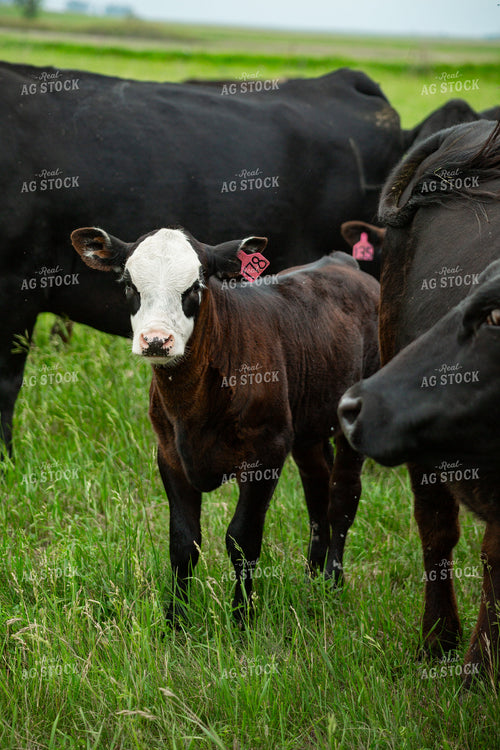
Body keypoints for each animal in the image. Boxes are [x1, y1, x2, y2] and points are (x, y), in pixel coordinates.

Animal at [71, 225, 380, 623]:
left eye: (196, 286)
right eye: (128, 284)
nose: (156, 340)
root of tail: (344, 264)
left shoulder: (266, 453)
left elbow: (242, 539)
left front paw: (242, 617)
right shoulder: (170, 455)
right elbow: (183, 541)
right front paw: (175, 621)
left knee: (342, 497)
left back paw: (333, 582)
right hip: (307, 426)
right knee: (317, 488)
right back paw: (313, 579)